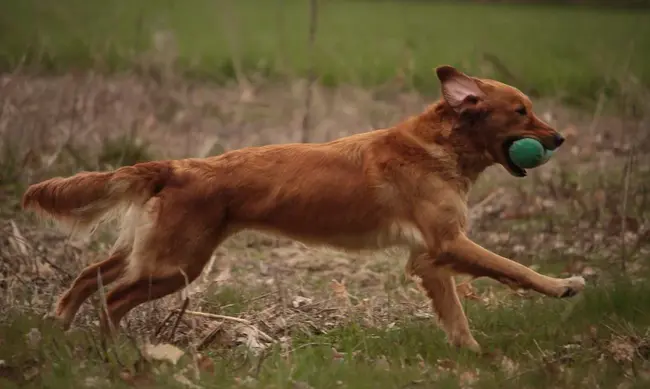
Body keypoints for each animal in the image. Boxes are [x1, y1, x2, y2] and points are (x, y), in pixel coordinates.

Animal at [24, 65, 584, 350]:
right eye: (521, 111)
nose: (559, 138)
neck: (438, 146)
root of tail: (178, 166)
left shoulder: (429, 258)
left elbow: (457, 316)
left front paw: (470, 356)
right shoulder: (447, 243)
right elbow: (513, 268)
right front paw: (563, 285)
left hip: (149, 252)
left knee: (87, 277)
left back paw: (58, 329)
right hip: (176, 264)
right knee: (113, 297)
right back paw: (110, 351)